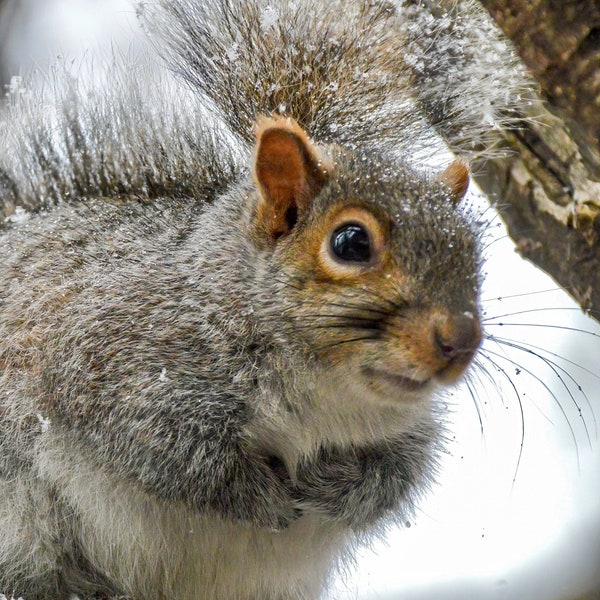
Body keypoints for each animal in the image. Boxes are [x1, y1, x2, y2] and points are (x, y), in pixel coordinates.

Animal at [1, 1, 528, 600]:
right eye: (351, 242)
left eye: (470, 247)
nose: (460, 340)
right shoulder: (110, 360)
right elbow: (171, 454)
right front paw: (263, 497)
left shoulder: (406, 431)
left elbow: (397, 476)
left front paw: (339, 485)